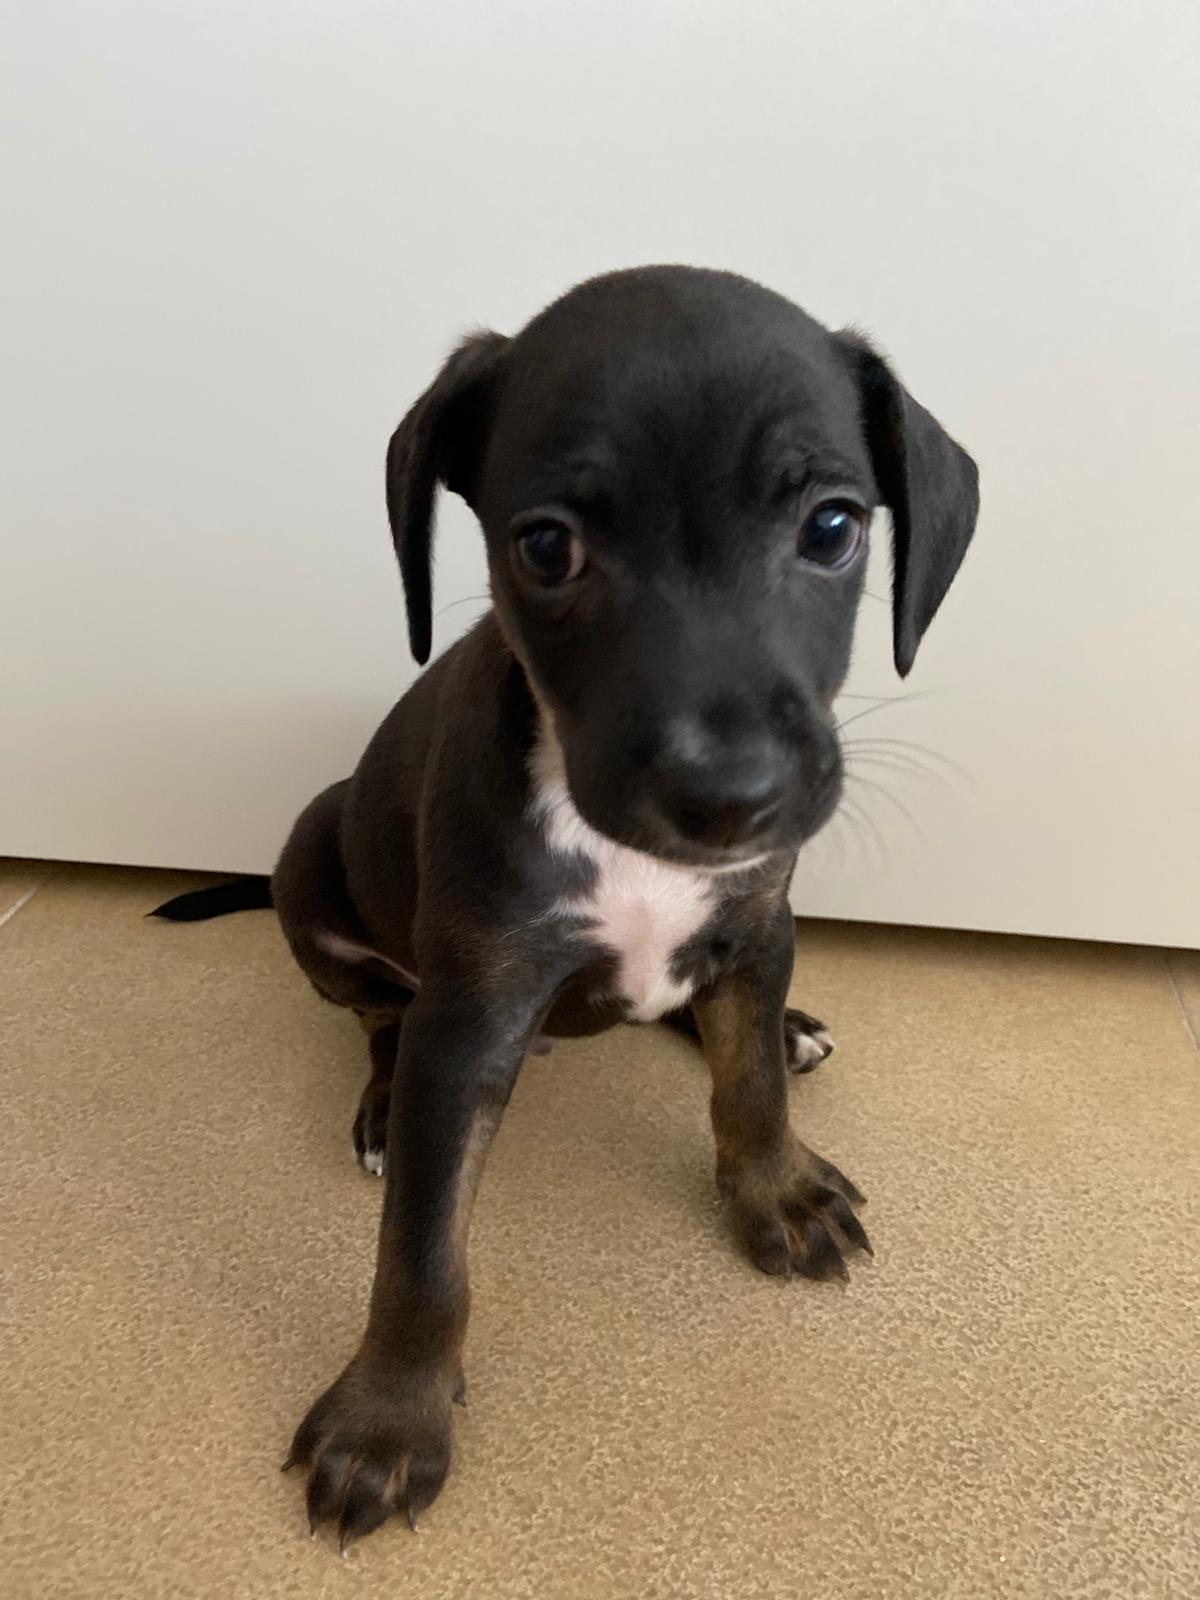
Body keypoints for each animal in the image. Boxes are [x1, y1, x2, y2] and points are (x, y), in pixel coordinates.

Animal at [153, 265, 979, 1548]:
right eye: (547, 546)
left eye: (834, 529)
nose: (728, 794)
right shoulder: (474, 1008)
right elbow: (423, 1251)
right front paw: (390, 1414)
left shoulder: (759, 918)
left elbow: (745, 1081)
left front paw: (778, 1185)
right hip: (313, 864)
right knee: (380, 1015)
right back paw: (384, 1104)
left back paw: (784, 1029)